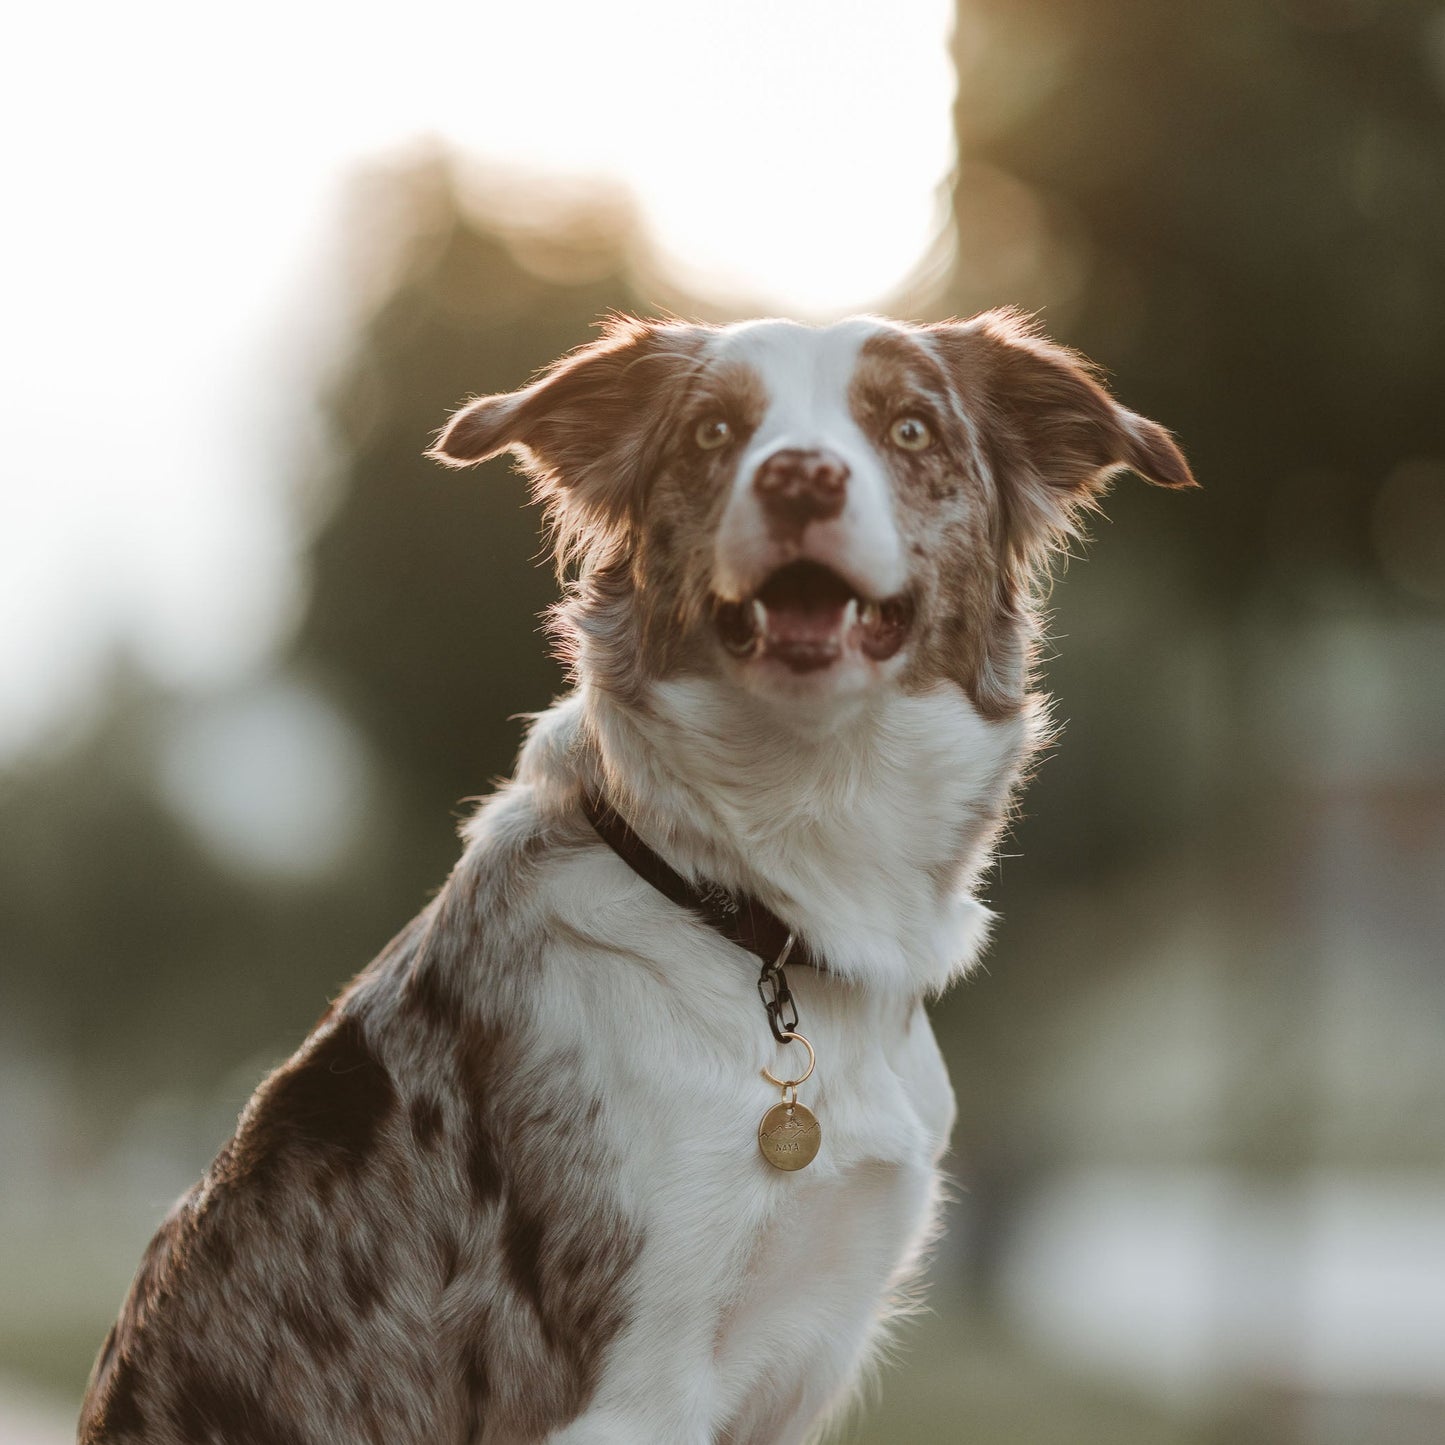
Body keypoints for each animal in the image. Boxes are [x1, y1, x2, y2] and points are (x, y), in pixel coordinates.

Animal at [73, 310, 1190, 1439]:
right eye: (711, 432)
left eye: (910, 428)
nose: (798, 477)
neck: (757, 904)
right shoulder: (629, 1388)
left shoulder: (806, 1353)